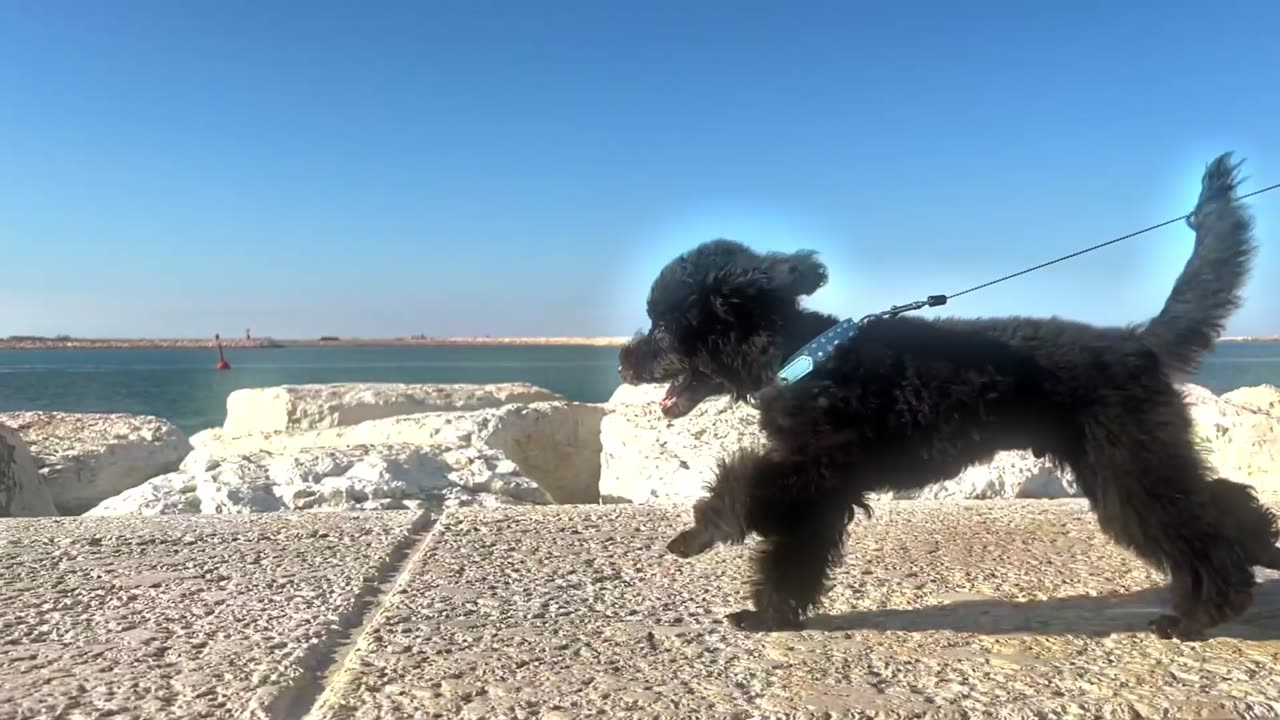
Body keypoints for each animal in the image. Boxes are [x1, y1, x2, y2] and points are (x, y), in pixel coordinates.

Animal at [619, 152, 1280, 638]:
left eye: (662, 326)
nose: (624, 360)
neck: (799, 353)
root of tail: (1138, 341)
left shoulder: (814, 467)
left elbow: (740, 492)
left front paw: (696, 536)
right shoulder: (822, 488)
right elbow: (794, 556)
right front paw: (770, 615)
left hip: (1127, 463)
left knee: (1196, 524)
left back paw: (1202, 615)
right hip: (1125, 463)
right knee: (1218, 503)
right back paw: (1258, 552)